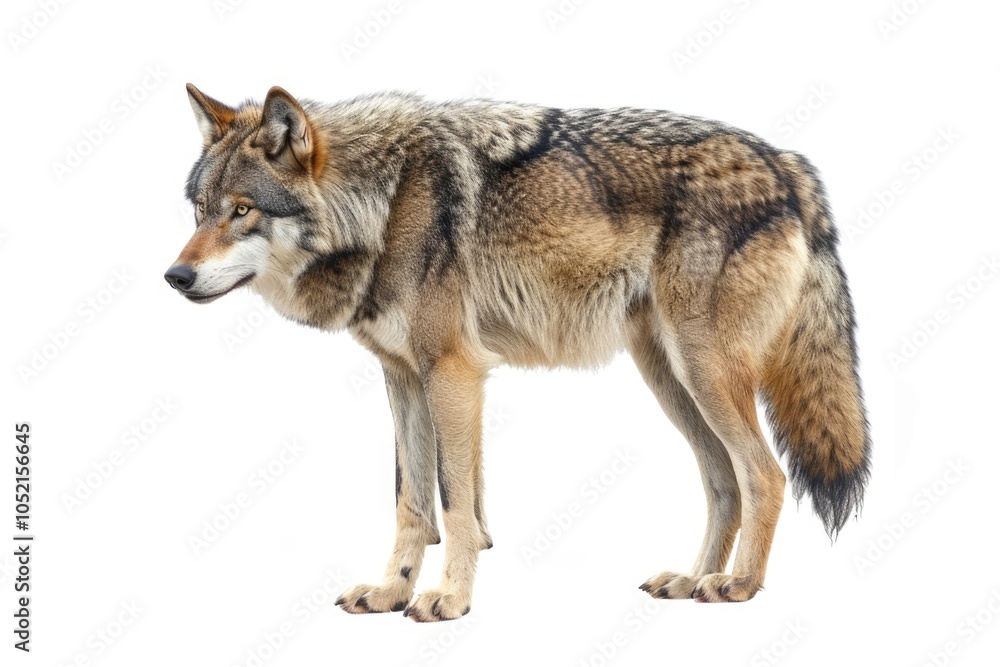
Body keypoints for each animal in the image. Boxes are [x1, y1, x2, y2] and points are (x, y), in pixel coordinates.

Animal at [166, 84, 870, 621]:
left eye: (243, 211)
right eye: (199, 211)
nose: (175, 276)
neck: (385, 204)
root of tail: (789, 163)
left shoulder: (453, 372)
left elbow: (455, 505)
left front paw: (448, 600)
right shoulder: (404, 378)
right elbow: (412, 503)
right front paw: (392, 591)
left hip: (703, 372)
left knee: (766, 476)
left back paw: (737, 585)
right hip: (671, 380)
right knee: (724, 483)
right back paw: (691, 579)